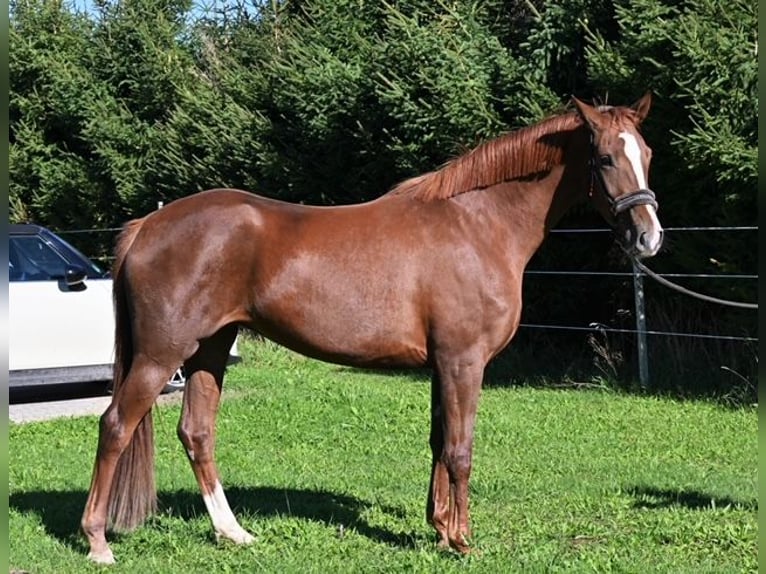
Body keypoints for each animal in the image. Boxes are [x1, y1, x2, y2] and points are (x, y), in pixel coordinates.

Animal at [81, 93, 664, 564]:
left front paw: (439, 528)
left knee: (197, 431)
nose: (649, 238)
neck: (477, 225)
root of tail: (147, 226)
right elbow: (461, 449)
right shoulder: (463, 361)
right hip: (160, 355)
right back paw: (98, 542)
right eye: (606, 157)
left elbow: (438, 441)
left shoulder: (442, 364)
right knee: (116, 426)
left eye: (647, 154)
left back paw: (233, 532)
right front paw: (463, 540)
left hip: (209, 349)